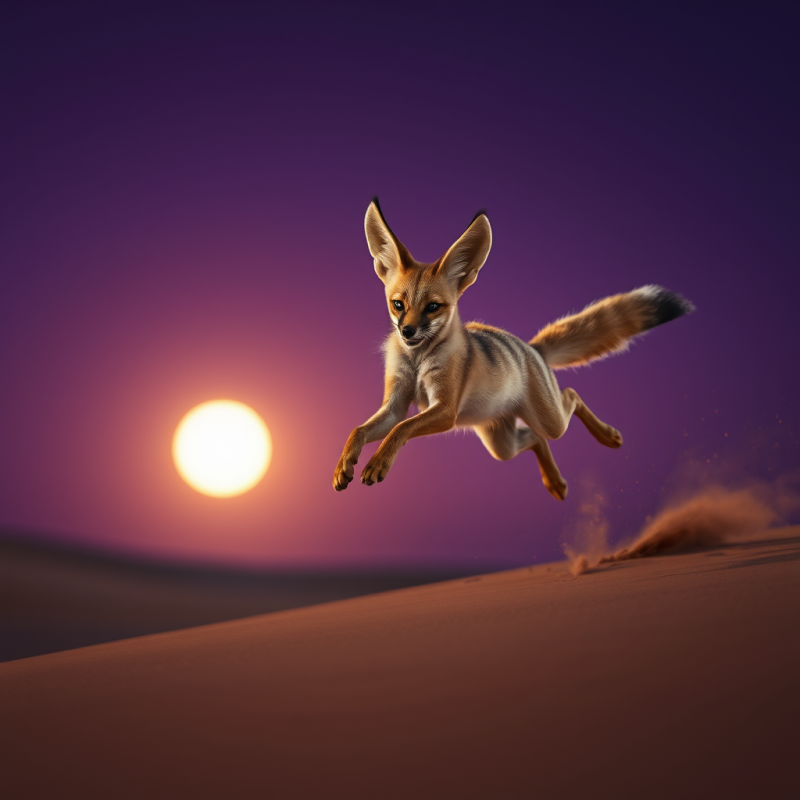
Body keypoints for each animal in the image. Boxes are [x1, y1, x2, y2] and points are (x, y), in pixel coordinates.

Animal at [333, 198, 694, 500]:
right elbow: (359, 430)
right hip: (500, 444)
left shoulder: (445, 411)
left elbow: (400, 429)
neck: (419, 360)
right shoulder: (395, 403)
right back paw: (554, 482)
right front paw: (343, 465)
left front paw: (377, 463)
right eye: (398, 304)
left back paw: (606, 436)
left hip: (548, 421)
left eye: (433, 307)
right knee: (535, 438)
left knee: (571, 398)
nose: (407, 332)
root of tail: (531, 348)